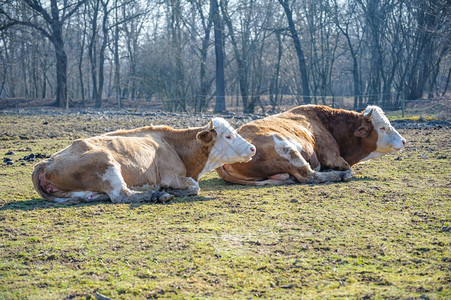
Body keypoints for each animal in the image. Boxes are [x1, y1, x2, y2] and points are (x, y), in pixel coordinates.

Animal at [33, 117, 256, 204]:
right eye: (227, 136)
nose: (252, 148)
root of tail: (47, 162)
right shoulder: (172, 176)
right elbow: (194, 187)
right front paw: (169, 191)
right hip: (106, 164)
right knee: (121, 195)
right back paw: (157, 195)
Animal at [215, 105, 406, 185]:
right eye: (382, 127)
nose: (403, 141)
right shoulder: (333, 157)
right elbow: (347, 169)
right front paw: (340, 173)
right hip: (288, 150)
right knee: (310, 175)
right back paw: (336, 175)